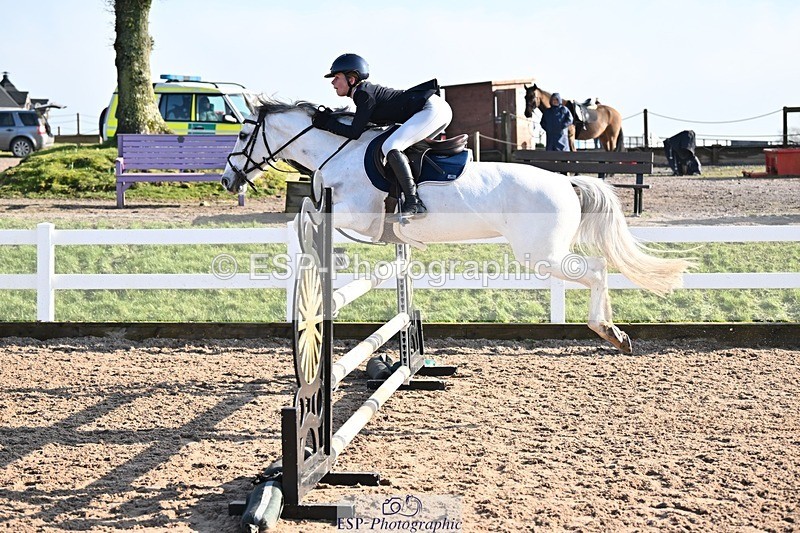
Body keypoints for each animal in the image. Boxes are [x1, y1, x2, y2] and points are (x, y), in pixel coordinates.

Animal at [221, 99, 692, 354]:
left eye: (243, 134)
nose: (227, 180)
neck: (340, 150)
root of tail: (568, 181)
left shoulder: (361, 216)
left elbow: (315, 219)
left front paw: (327, 256)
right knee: (600, 272)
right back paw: (615, 333)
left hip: (540, 255)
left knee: (595, 271)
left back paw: (608, 332)